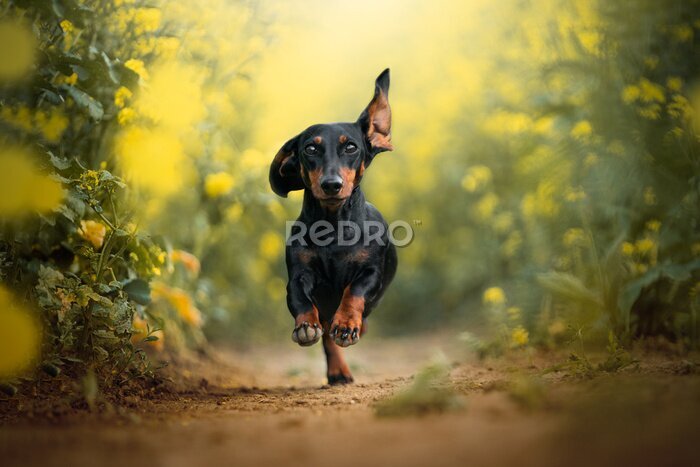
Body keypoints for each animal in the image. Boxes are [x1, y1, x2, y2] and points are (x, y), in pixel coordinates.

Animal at [270, 68, 396, 384]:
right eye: (310, 148)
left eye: (351, 146)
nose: (331, 184)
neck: (333, 227)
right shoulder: (300, 274)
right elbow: (300, 297)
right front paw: (305, 325)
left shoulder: (371, 273)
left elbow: (354, 290)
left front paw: (347, 324)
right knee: (326, 334)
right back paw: (338, 369)